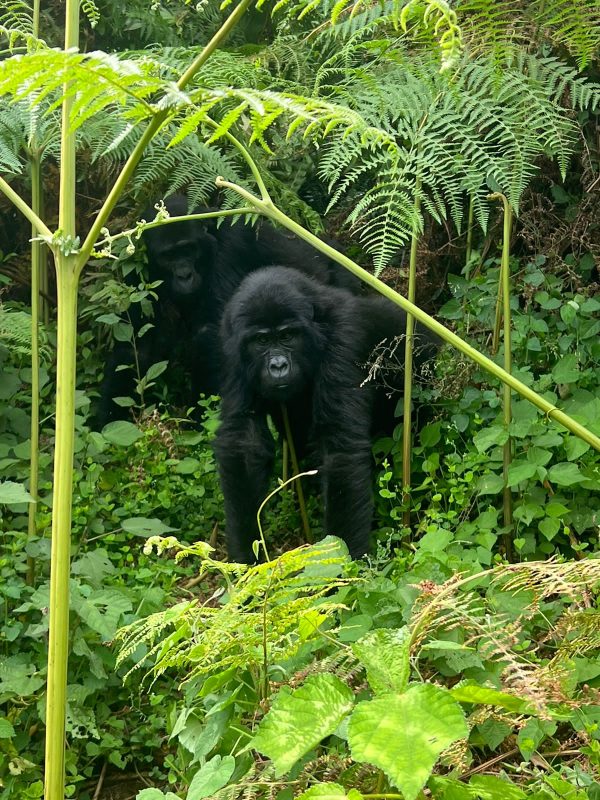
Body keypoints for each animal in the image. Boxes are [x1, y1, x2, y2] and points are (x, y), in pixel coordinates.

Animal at [98, 195, 360, 428]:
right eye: (168, 256)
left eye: (188, 250)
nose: (184, 275)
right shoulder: (135, 263)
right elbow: (137, 345)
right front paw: (106, 423)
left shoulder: (231, 245)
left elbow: (210, 333)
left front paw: (200, 421)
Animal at [216, 268, 436, 564]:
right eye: (261, 341)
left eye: (287, 336)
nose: (278, 366)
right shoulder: (229, 343)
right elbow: (244, 440)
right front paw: (246, 556)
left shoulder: (344, 336)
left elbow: (340, 449)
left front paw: (343, 562)